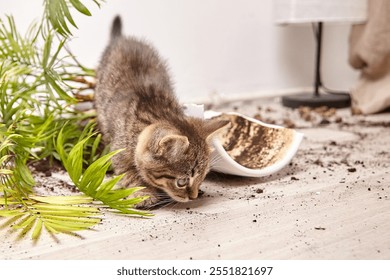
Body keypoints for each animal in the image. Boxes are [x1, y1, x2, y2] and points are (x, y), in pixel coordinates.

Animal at [95, 15, 229, 208]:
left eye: (202, 177)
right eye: (182, 182)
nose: (194, 196)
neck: (158, 110)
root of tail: (121, 38)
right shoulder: (119, 155)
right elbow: (130, 175)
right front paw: (145, 193)